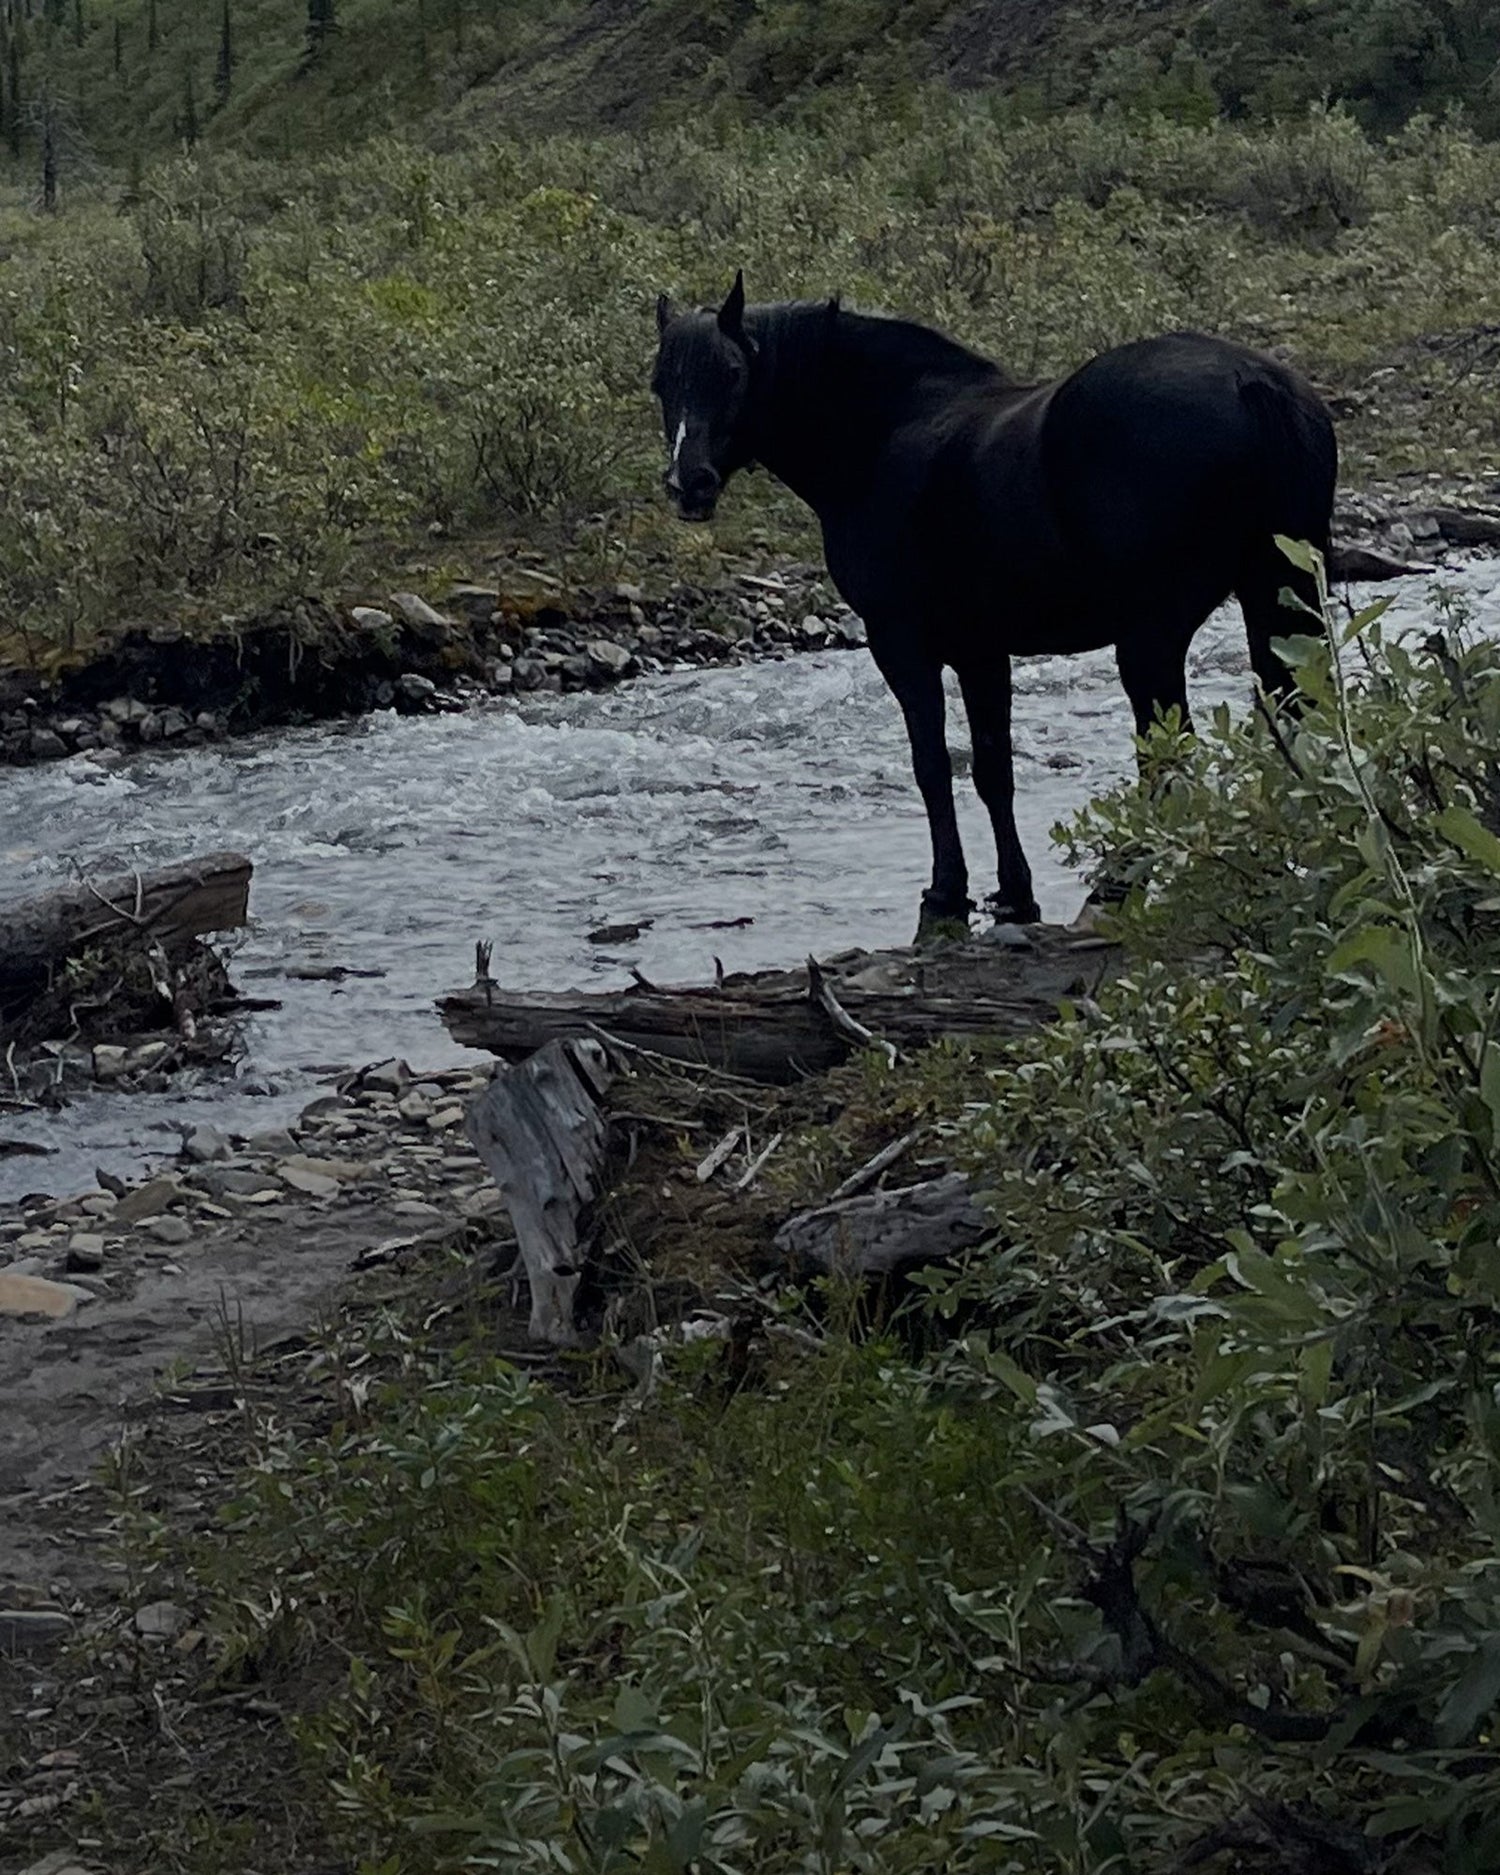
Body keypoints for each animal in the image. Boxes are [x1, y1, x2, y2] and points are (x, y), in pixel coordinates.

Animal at [648, 271, 1327, 930]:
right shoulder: (980, 651)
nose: (688, 484)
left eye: (732, 373)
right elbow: (992, 769)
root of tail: (1250, 380)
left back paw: (1117, 884)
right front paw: (1013, 893)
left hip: (1152, 638)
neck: (883, 435)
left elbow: (932, 767)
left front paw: (947, 892)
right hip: (1277, 605)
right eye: (660, 382)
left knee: (1167, 758)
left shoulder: (900, 643)